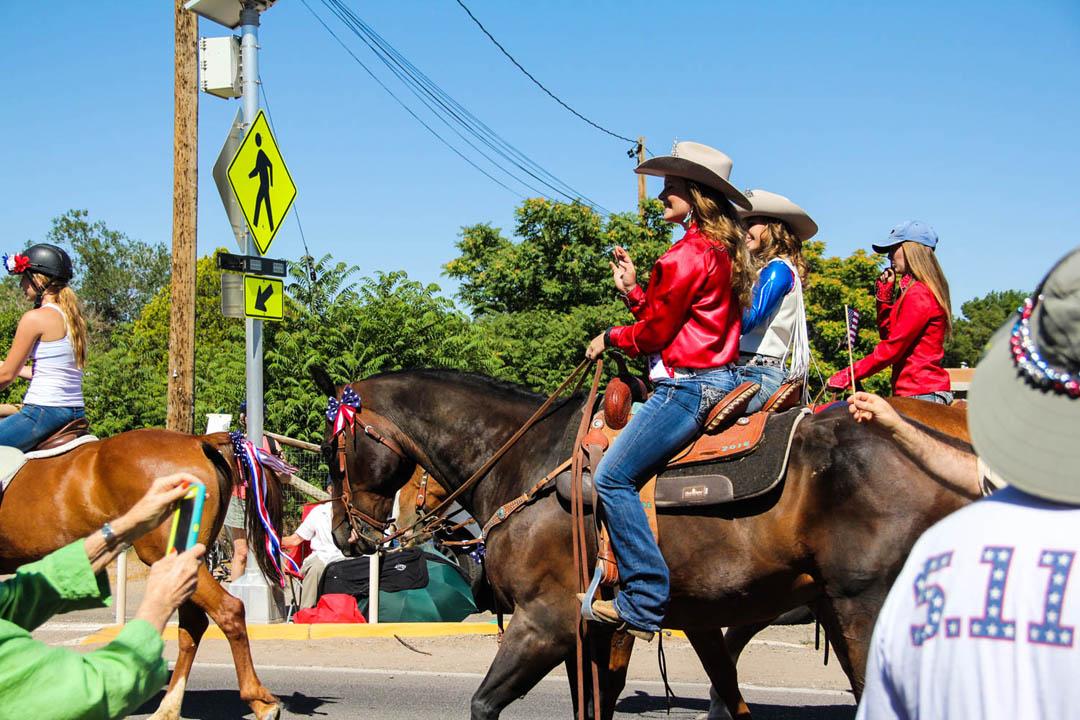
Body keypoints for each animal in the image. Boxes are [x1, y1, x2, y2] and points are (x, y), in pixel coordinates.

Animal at [315, 369, 976, 716]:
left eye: (332, 448)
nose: (346, 534)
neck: (526, 462)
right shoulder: (592, 631)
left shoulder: (545, 622)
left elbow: (484, 703)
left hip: (860, 608)